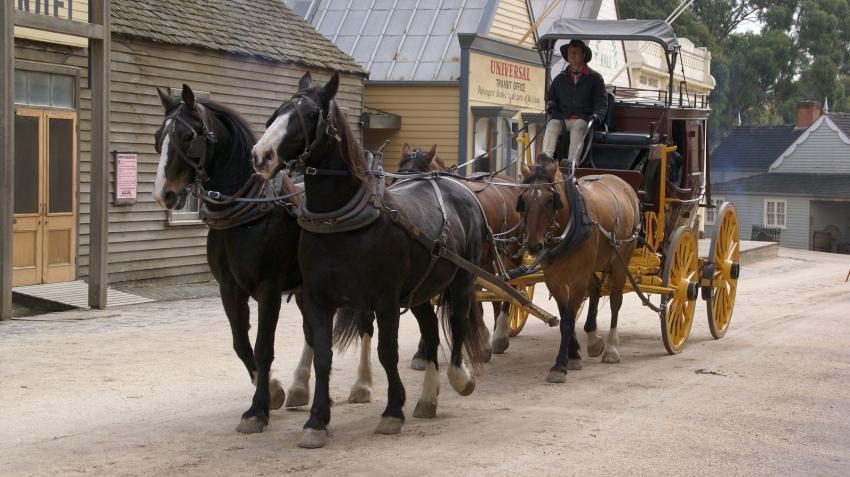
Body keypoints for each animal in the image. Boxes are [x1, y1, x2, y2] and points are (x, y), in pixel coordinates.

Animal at [152, 84, 374, 436]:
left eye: (187, 136)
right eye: (159, 136)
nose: (164, 193)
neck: (247, 214)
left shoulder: (268, 288)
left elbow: (263, 346)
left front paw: (258, 409)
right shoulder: (229, 288)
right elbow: (242, 345)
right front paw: (273, 391)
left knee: (365, 324)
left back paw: (362, 384)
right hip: (305, 290)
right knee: (312, 333)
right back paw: (301, 388)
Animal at [250, 70, 484, 446]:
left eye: (311, 114)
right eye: (278, 111)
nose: (262, 155)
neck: (342, 223)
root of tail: (456, 186)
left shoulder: (385, 300)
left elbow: (387, 353)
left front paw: (392, 410)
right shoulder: (318, 298)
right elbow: (323, 355)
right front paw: (317, 420)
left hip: (463, 279)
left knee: (458, 322)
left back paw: (460, 377)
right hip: (419, 292)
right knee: (432, 332)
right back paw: (428, 398)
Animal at [512, 158, 640, 382]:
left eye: (550, 200)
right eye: (524, 200)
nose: (534, 246)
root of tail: (622, 182)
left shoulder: (578, 278)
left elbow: (568, 321)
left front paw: (560, 365)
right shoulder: (554, 279)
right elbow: (566, 316)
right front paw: (573, 355)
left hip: (621, 260)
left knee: (615, 300)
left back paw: (611, 349)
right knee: (595, 290)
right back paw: (594, 339)